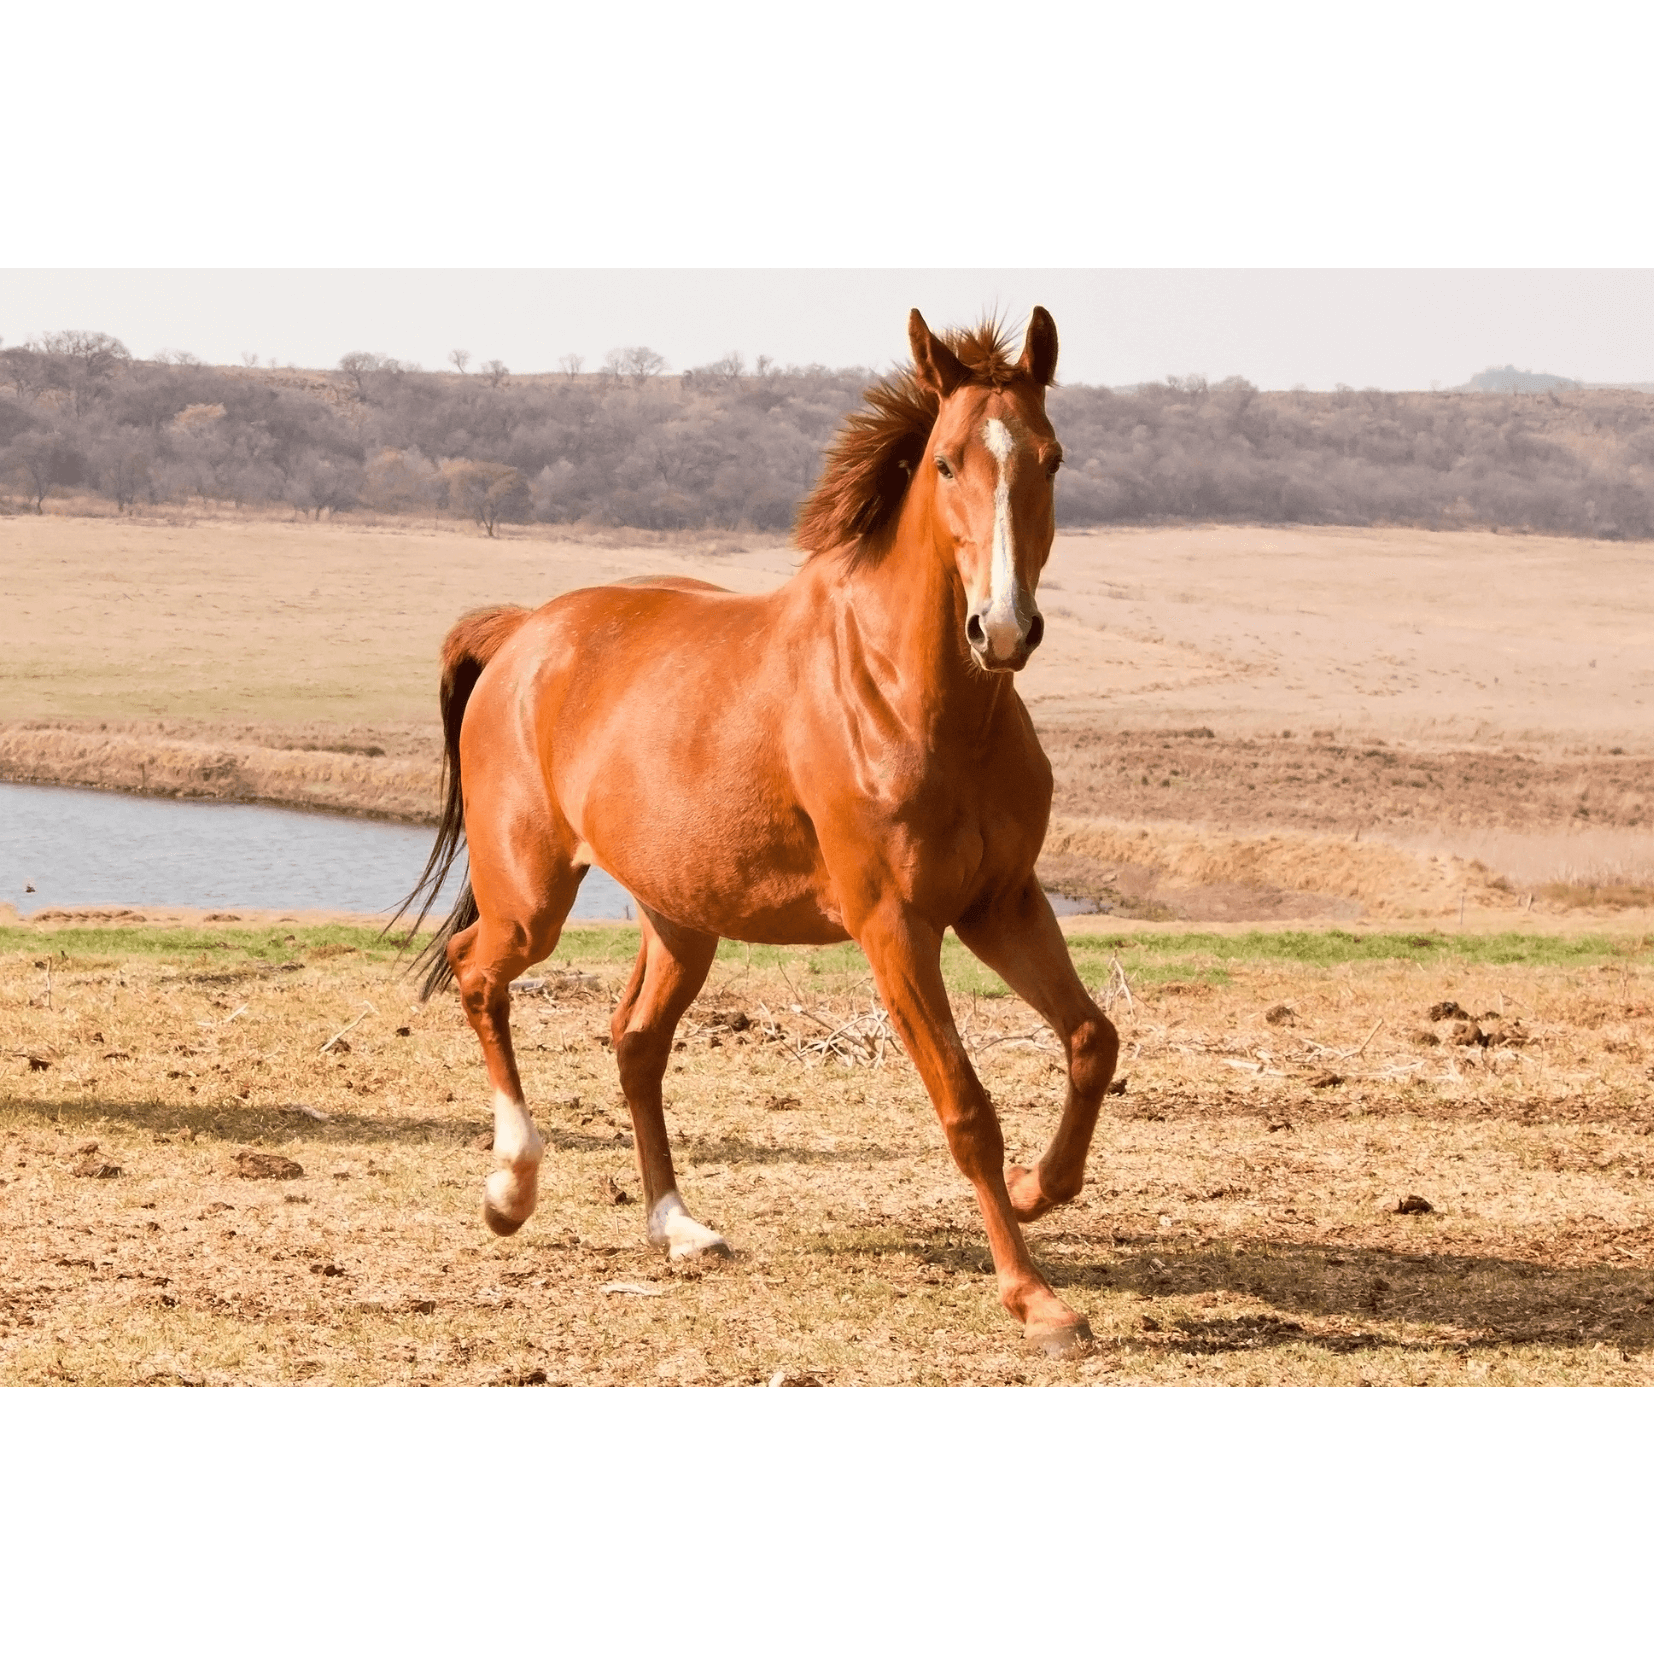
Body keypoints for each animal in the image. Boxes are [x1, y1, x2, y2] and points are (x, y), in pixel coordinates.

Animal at [395, 308, 1120, 1356]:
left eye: (1050, 458)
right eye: (947, 461)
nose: (1004, 629)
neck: (910, 697)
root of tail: (525, 632)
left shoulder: (1002, 904)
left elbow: (1092, 1040)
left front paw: (1036, 1188)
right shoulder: (895, 928)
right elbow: (966, 1107)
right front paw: (1037, 1300)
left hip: (681, 918)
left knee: (634, 1041)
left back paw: (676, 1227)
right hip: (531, 900)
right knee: (477, 971)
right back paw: (510, 1188)